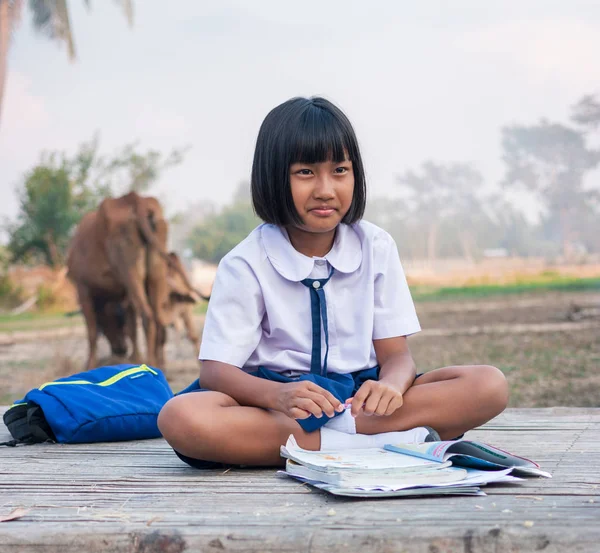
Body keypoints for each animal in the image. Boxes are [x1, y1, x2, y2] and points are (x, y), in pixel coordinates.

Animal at [68, 192, 195, 368]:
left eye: (108, 325)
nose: (120, 349)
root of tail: (136, 199)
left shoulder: (82, 287)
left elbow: (92, 329)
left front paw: (90, 364)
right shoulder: (125, 292)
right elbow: (131, 325)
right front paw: (135, 359)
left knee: (148, 316)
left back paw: (150, 362)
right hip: (155, 269)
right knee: (156, 317)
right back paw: (158, 364)